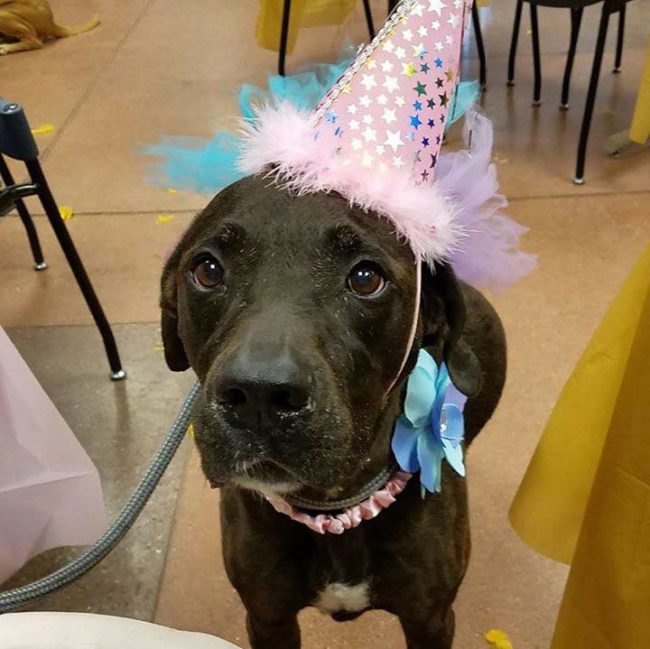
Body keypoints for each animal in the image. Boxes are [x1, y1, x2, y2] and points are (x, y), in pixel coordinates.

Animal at [159, 175, 504, 644]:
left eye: (365, 277)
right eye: (207, 270)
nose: (259, 395)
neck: (334, 506)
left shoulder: (431, 619)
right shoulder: (268, 617)